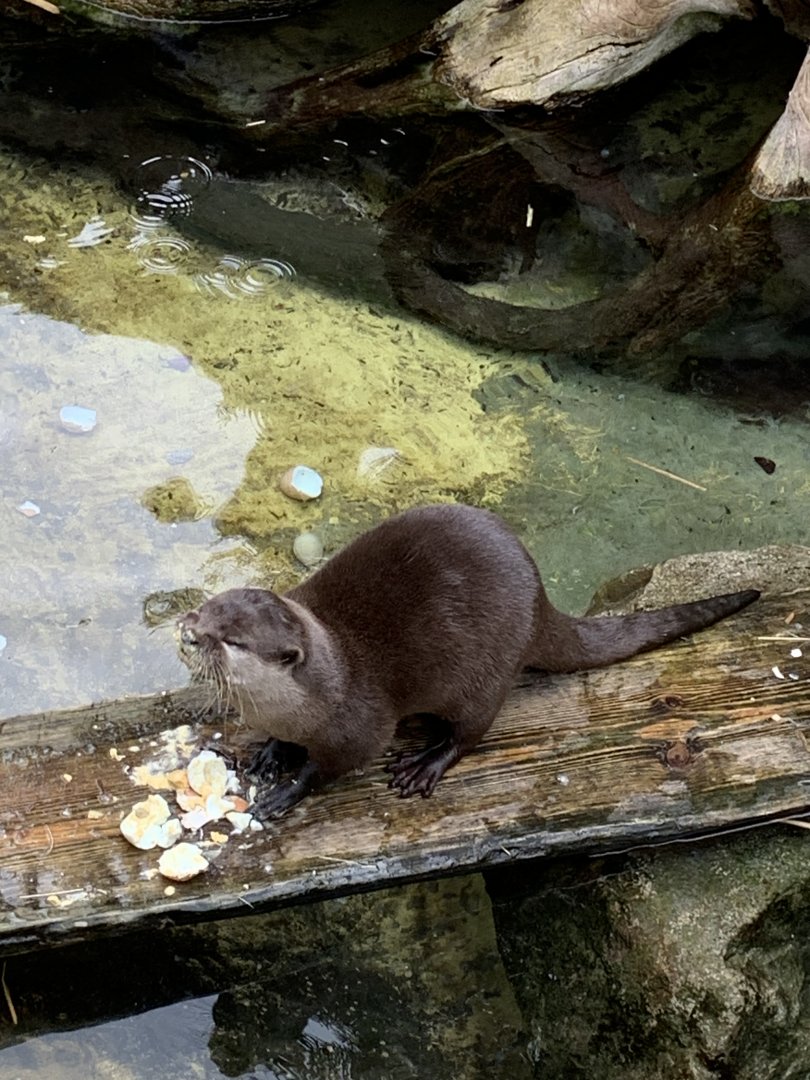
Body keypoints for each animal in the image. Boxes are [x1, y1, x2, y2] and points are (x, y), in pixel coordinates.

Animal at [177, 504, 759, 819]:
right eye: (212, 605)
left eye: (232, 639)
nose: (189, 628)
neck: (313, 692)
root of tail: (541, 600)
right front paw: (270, 754)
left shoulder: (356, 720)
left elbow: (335, 765)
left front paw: (287, 791)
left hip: (487, 671)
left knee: (473, 732)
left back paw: (425, 764)